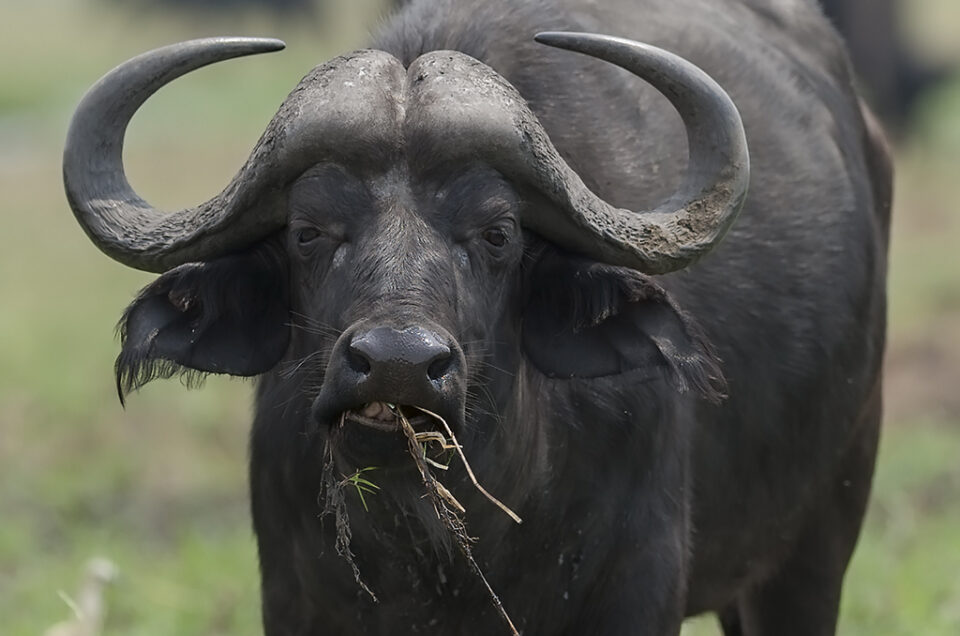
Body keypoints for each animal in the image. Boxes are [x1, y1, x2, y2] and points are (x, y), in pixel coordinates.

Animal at [63, 0, 891, 634]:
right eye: (309, 232)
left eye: (497, 233)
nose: (397, 364)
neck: (436, 552)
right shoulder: (296, 600)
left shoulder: (638, 594)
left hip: (819, 540)